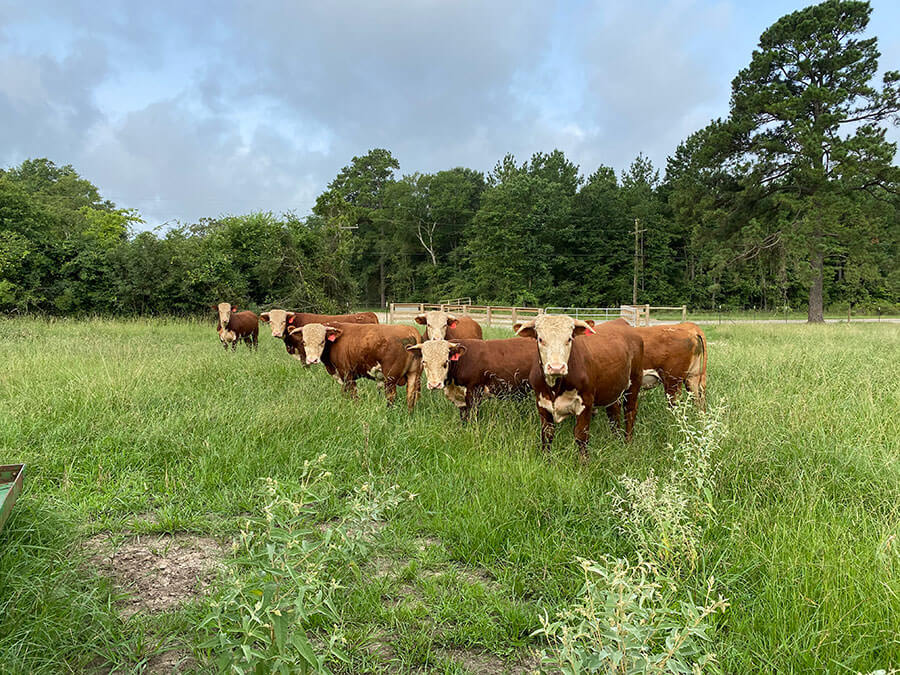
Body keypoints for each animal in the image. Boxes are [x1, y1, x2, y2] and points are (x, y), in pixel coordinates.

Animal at [288, 322, 422, 411]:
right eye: (304, 342)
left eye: (322, 341)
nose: (312, 360)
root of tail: (410, 330)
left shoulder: (347, 373)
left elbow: (353, 394)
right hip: (414, 375)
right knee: (411, 397)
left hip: (390, 378)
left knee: (391, 396)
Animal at [405, 338, 536, 421]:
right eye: (424, 362)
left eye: (446, 362)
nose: (434, 384)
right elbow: (464, 416)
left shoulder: (474, 391)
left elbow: (472, 415)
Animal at [514, 314, 643, 462]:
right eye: (540, 339)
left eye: (569, 339)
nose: (556, 367)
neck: (555, 388)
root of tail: (622, 322)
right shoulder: (541, 403)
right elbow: (547, 434)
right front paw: (546, 460)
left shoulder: (586, 403)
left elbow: (581, 435)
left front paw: (584, 463)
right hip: (612, 389)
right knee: (614, 412)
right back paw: (616, 439)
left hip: (634, 382)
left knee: (630, 412)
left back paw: (628, 442)